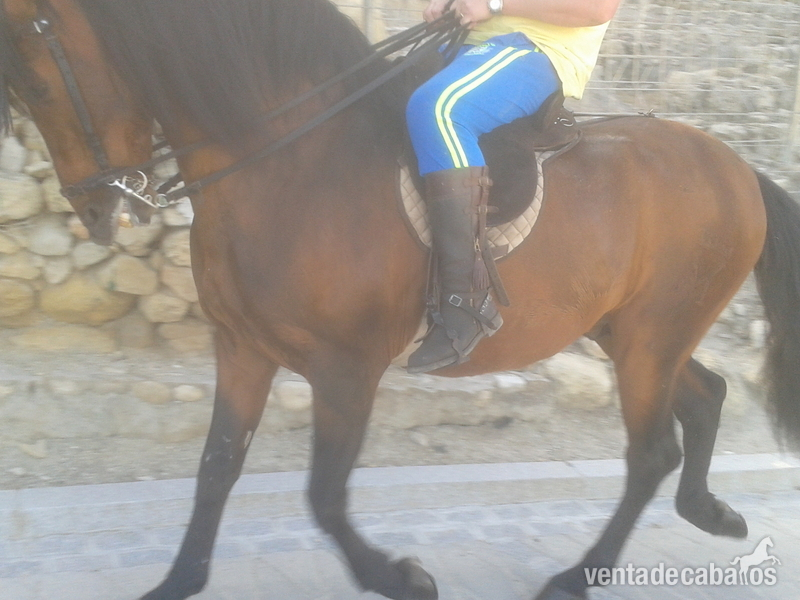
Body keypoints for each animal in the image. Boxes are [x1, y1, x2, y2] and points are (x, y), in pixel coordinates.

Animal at [2, 1, 800, 599]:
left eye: (35, 86)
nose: (97, 211)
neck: (290, 160)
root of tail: (736, 165)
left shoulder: (345, 368)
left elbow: (324, 494)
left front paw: (397, 576)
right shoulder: (242, 346)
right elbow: (216, 467)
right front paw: (178, 581)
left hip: (648, 341)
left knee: (651, 450)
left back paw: (579, 576)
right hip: (632, 333)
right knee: (705, 397)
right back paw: (706, 511)